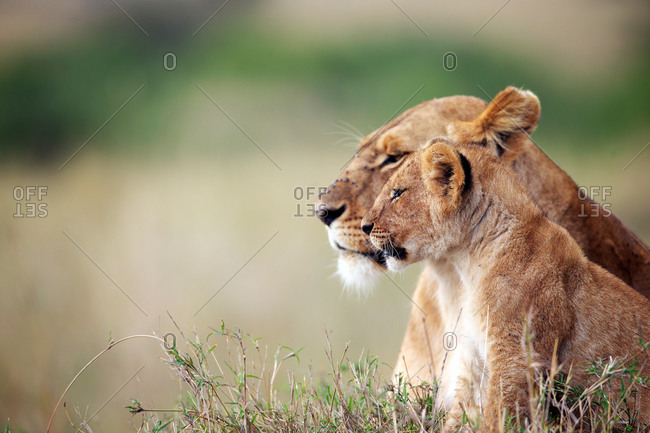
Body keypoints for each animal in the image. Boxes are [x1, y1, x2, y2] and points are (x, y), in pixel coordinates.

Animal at [361, 139, 650, 431]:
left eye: (398, 193)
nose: (364, 226)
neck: (469, 263)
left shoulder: (516, 360)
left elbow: (497, 417)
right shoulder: (473, 363)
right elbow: (458, 418)